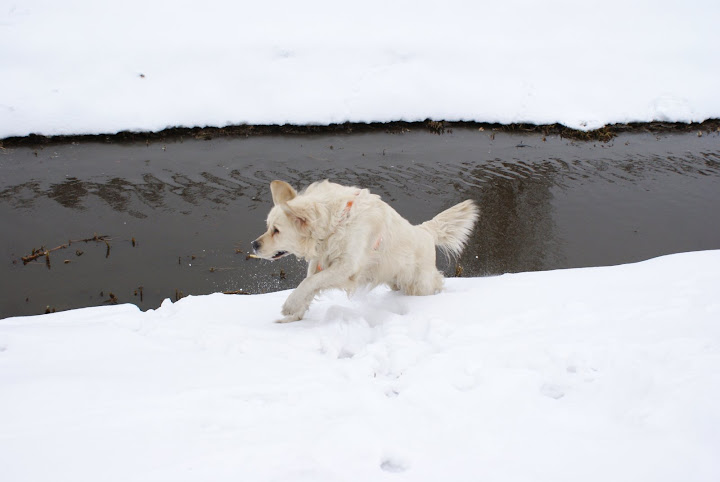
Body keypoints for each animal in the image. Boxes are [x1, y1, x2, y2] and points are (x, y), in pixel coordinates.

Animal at [252, 180, 478, 322]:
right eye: (267, 226)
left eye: (276, 230)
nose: (254, 244)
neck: (336, 223)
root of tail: (425, 230)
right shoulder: (320, 261)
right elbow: (309, 284)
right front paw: (294, 316)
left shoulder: (347, 266)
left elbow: (310, 283)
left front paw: (289, 306)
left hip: (419, 283)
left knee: (437, 281)